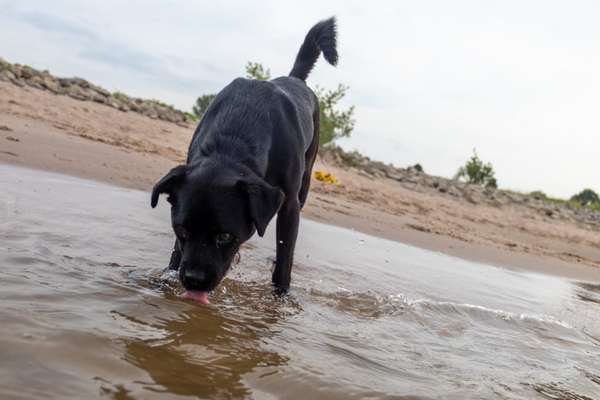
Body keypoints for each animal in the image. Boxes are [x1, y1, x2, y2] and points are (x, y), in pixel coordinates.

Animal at [150, 17, 338, 302]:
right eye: (182, 231)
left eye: (224, 235)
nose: (193, 281)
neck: (234, 138)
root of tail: (294, 78)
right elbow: (176, 252)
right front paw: (166, 279)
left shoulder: (289, 206)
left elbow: (285, 257)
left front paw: (280, 299)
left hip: (306, 179)